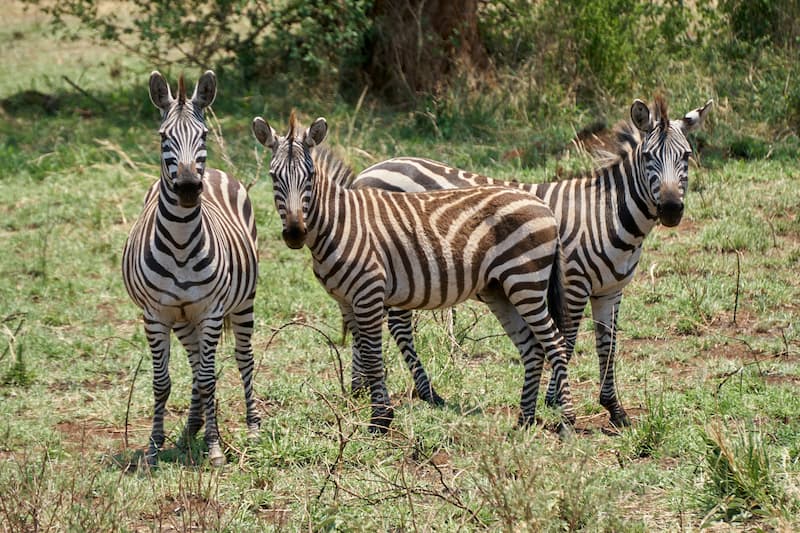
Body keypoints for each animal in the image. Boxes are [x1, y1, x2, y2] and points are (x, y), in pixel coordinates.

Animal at [122, 71, 260, 467]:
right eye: (163, 136)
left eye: (204, 135)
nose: (187, 188)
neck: (182, 243)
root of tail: (212, 172)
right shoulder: (155, 315)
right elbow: (163, 382)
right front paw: (154, 447)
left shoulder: (212, 312)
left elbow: (210, 378)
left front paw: (214, 449)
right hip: (184, 319)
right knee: (197, 364)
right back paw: (190, 429)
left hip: (243, 301)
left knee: (243, 358)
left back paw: (252, 428)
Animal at [252, 111, 576, 433]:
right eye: (273, 176)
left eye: (310, 176)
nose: (295, 233)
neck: (340, 223)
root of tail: (545, 207)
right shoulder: (347, 299)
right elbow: (365, 351)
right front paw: (373, 406)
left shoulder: (369, 293)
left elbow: (372, 355)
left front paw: (380, 420)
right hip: (501, 290)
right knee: (532, 348)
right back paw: (524, 421)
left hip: (525, 281)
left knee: (556, 344)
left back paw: (567, 423)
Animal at [350, 95, 712, 428]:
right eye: (649, 156)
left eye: (687, 156)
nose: (670, 209)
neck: (605, 213)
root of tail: (368, 171)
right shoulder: (573, 282)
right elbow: (567, 339)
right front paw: (554, 399)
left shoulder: (611, 291)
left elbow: (607, 346)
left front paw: (615, 409)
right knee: (397, 327)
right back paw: (424, 393)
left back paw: (359, 388)